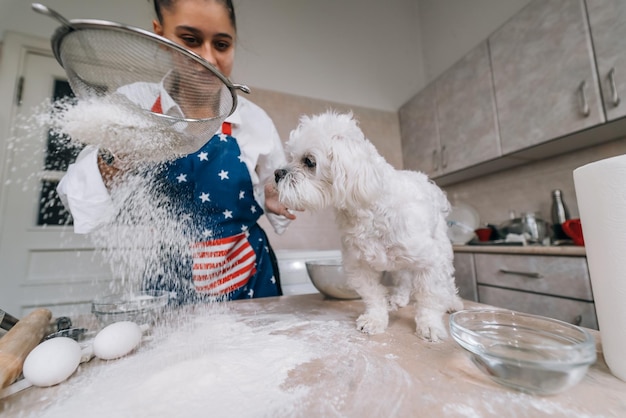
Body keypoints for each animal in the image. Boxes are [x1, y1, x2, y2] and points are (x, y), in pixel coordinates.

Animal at [274, 112, 464, 342]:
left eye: (309, 161)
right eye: (291, 157)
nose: (276, 173)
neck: (368, 212)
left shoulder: (430, 262)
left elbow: (429, 297)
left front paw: (429, 325)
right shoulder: (359, 266)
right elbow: (373, 296)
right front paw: (375, 319)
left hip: (440, 249)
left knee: (446, 281)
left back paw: (452, 302)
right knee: (404, 278)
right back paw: (399, 298)